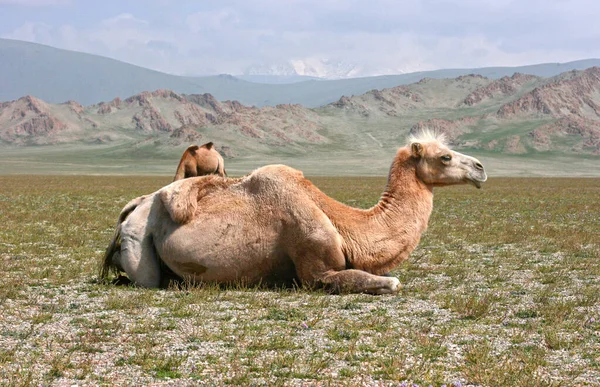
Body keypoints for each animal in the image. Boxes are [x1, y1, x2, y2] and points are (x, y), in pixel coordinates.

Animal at [102, 133, 488, 294]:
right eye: (445, 157)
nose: (481, 167)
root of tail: (133, 208)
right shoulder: (315, 269)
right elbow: (390, 282)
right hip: (140, 244)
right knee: (145, 277)